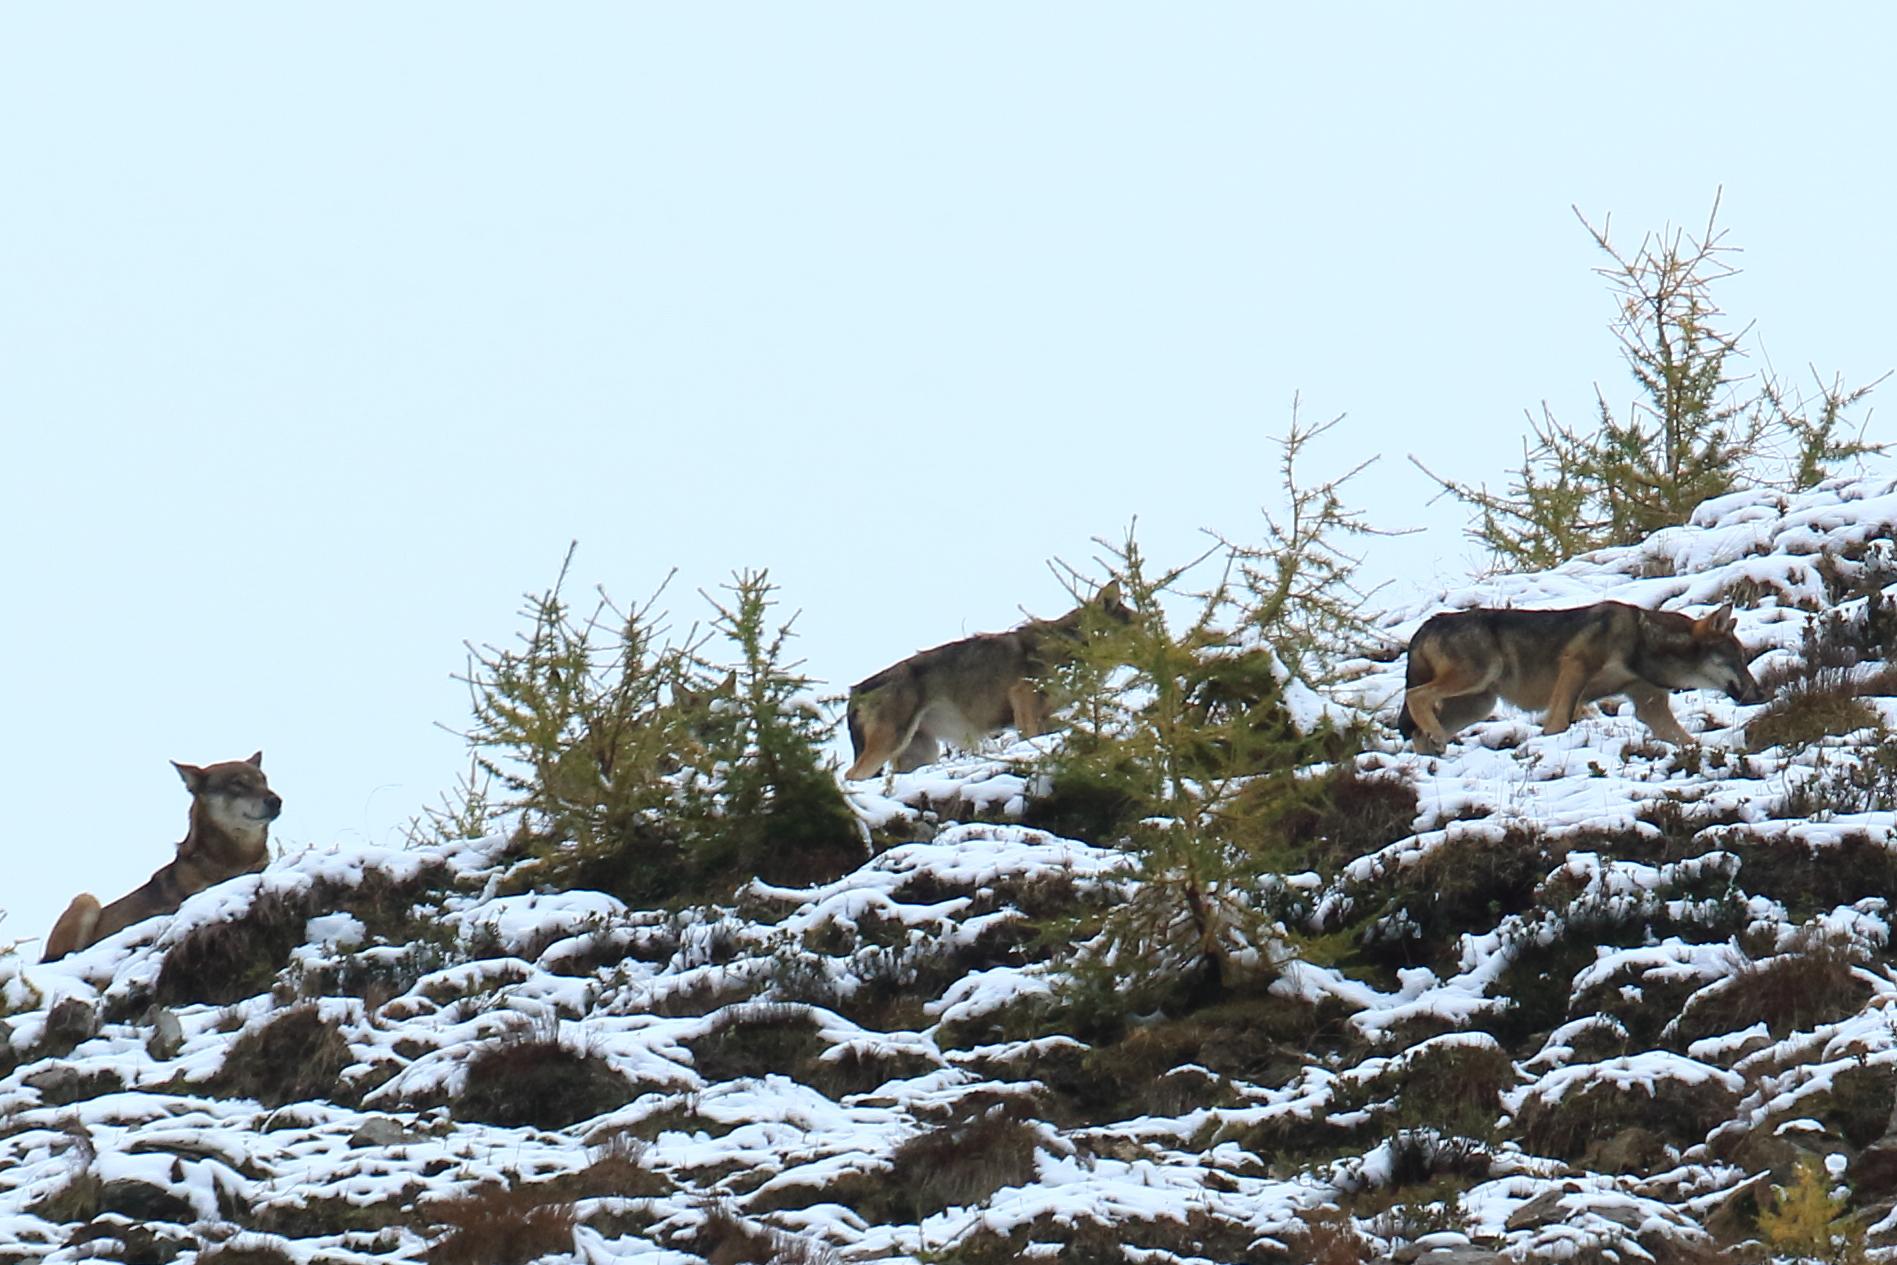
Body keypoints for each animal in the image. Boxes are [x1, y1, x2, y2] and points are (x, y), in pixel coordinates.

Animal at [842, 584, 1123, 781]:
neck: (1074, 646)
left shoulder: (1045, 716)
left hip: (921, 753)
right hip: (891, 744)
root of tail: (856, 690)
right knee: (850, 776)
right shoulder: (1023, 695)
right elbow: (1031, 736)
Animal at [1396, 603, 1760, 758]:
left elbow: (1688, 741)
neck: (1644, 642)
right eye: (1739, 660)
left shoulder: (1649, 706)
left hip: (1479, 704)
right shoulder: (1575, 667)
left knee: (1418, 731)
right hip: (1477, 679)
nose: (1760, 692)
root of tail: (1428, 623)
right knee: (1416, 696)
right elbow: (1557, 721)